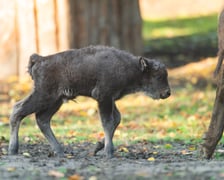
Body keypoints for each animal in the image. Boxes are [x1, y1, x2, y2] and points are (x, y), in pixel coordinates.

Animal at [7, 45, 171, 158]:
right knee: (18, 110)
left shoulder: (110, 99)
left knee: (42, 119)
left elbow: (116, 119)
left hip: (56, 101)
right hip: (44, 96)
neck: (132, 67)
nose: (167, 93)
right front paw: (108, 152)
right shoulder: (104, 97)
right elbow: (107, 122)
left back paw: (59, 151)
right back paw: (13, 150)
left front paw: (98, 147)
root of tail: (40, 59)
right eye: (157, 76)